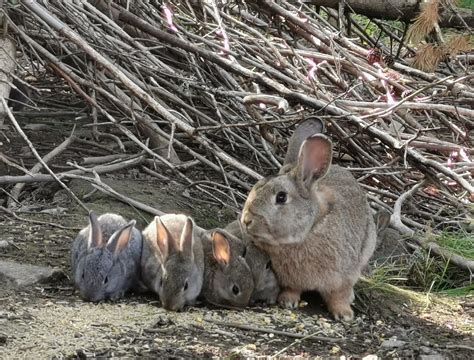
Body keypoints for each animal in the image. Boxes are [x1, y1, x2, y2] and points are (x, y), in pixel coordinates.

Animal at [241, 134, 378, 320]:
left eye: (281, 197)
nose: (246, 220)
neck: (310, 229)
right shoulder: (290, 278)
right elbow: (292, 288)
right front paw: (287, 301)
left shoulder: (344, 277)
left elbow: (339, 295)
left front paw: (344, 314)